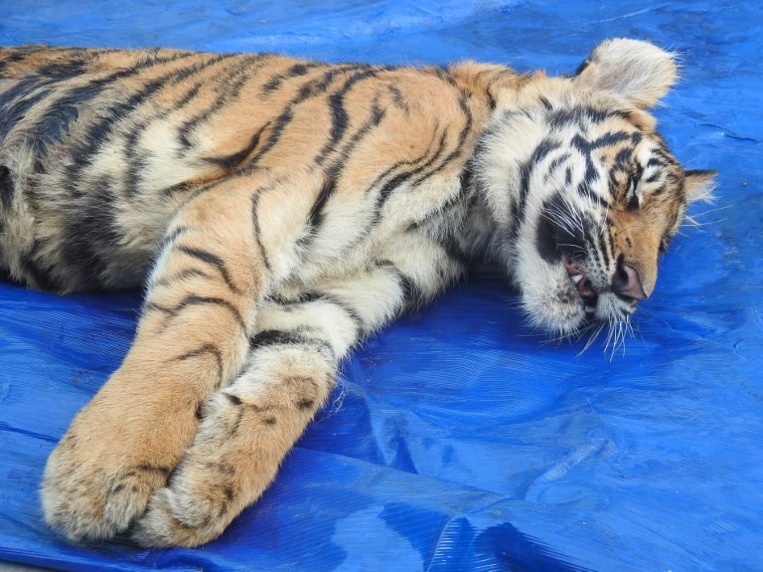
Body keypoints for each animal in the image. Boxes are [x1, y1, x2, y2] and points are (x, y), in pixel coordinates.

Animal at [0, 38, 715, 547]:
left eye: (664, 244)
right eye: (633, 186)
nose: (635, 289)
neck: (471, 218)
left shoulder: (329, 296)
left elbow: (288, 389)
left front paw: (202, 496)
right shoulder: (245, 206)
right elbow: (193, 337)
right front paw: (103, 474)